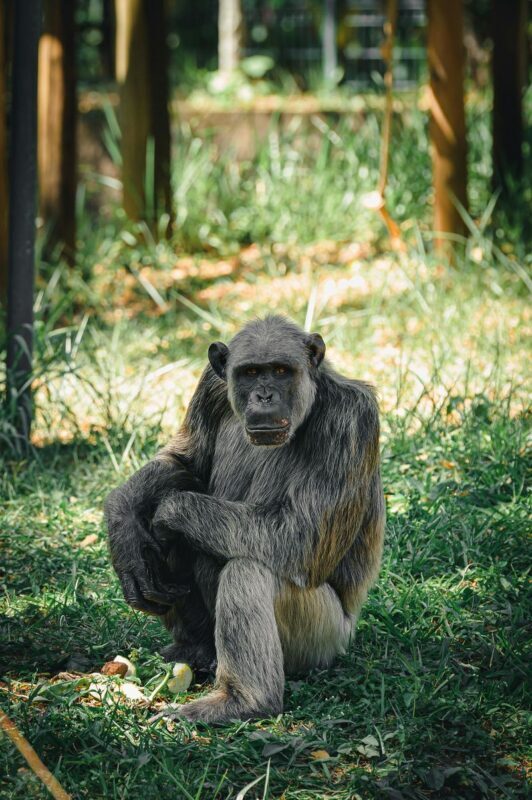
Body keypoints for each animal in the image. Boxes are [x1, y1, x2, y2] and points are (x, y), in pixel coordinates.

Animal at [104, 315, 385, 723]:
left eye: (281, 371)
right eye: (251, 372)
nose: (264, 395)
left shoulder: (349, 423)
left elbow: (303, 535)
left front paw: (169, 512)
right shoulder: (210, 386)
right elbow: (186, 461)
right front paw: (123, 524)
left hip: (323, 639)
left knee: (247, 571)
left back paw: (242, 700)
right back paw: (194, 649)